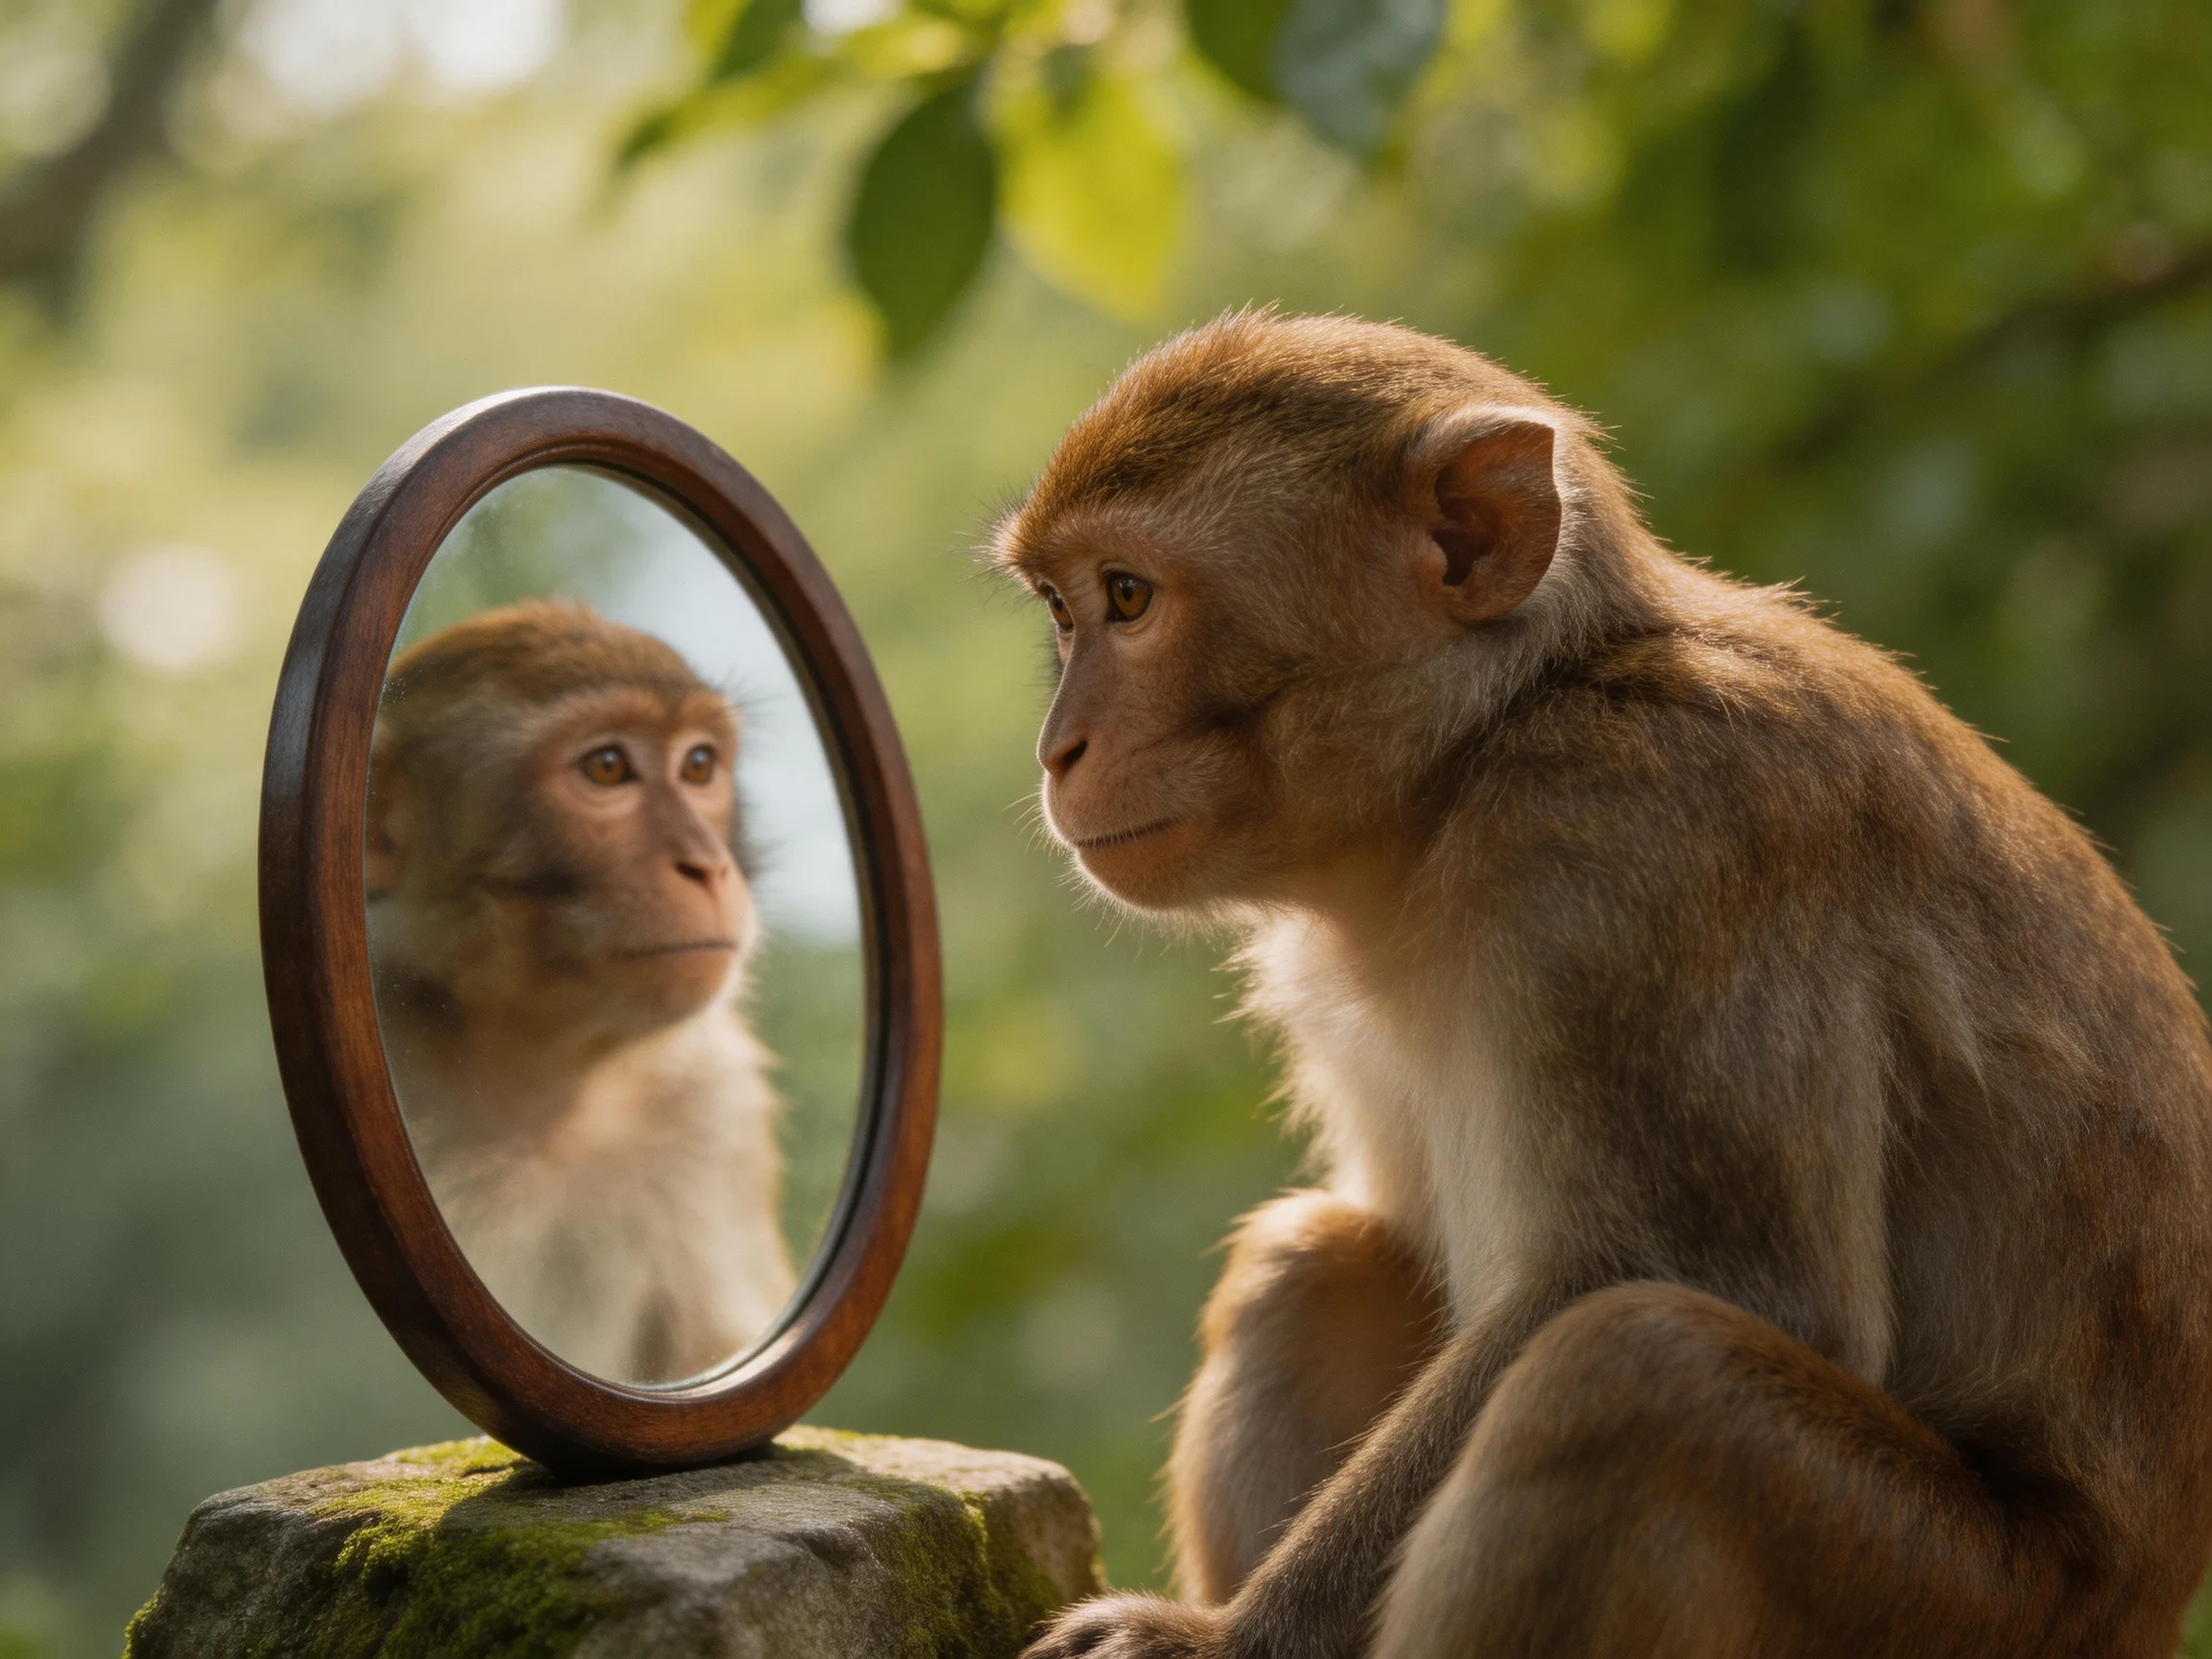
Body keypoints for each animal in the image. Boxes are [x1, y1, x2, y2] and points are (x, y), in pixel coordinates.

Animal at [995, 311, 2212, 1659]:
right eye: (1063, 610)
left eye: (1129, 598)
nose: (1058, 750)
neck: (1481, 754)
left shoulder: (1637, 835)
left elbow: (1703, 1284)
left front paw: (1222, 1647)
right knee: (1311, 1261)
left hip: (1956, 1602)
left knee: (1633, 1376)